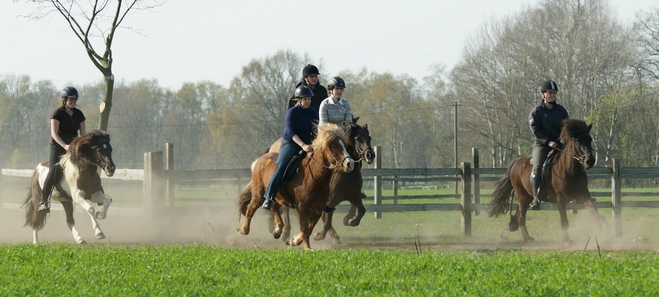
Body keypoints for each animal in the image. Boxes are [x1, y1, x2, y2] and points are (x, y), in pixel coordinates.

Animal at [235, 122, 354, 250]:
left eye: (345, 145)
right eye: (334, 146)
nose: (350, 163)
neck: (314, 176)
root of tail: (260, 159)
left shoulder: (318, 209)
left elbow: (308, 230)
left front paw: (293, 240)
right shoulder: (302, 207)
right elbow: (305, 229)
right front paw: (307, 248)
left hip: (278, 196)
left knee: (275, 207)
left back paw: (278, 229)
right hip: (258, 193)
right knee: (251, 208)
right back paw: (243, 229)